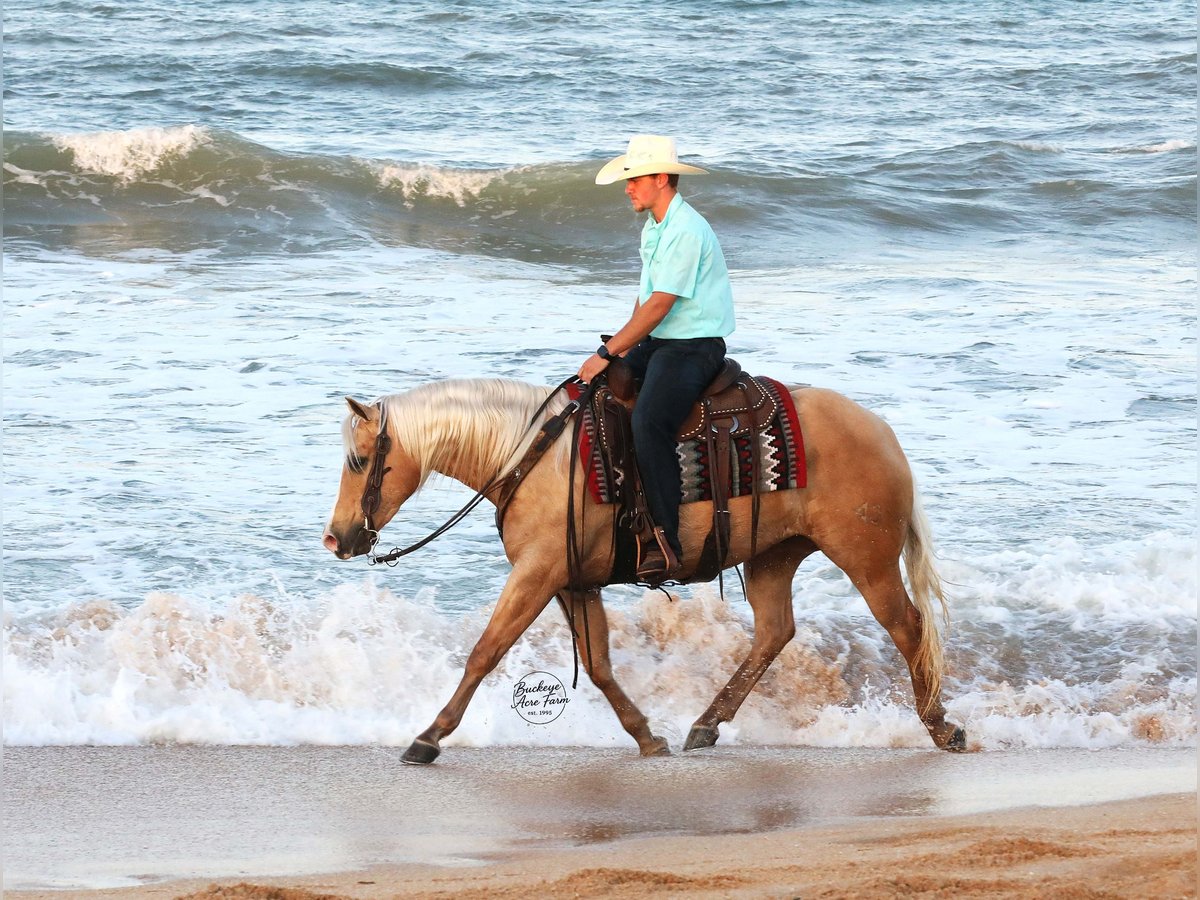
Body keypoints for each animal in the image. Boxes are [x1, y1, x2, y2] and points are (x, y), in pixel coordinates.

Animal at [322, 377, 967, 764]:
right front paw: (646, 734)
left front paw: (428, 737)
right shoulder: (573, 583)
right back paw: (705, 726)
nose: (336, 538)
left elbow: (486, 650)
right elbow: (599, 665)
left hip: (867, 560)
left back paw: (941, 727)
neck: (534, 456)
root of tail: (881, 432)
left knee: (907, 627)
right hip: (773, 555)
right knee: (774, 633)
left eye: (357, 460)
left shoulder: (536, 574)